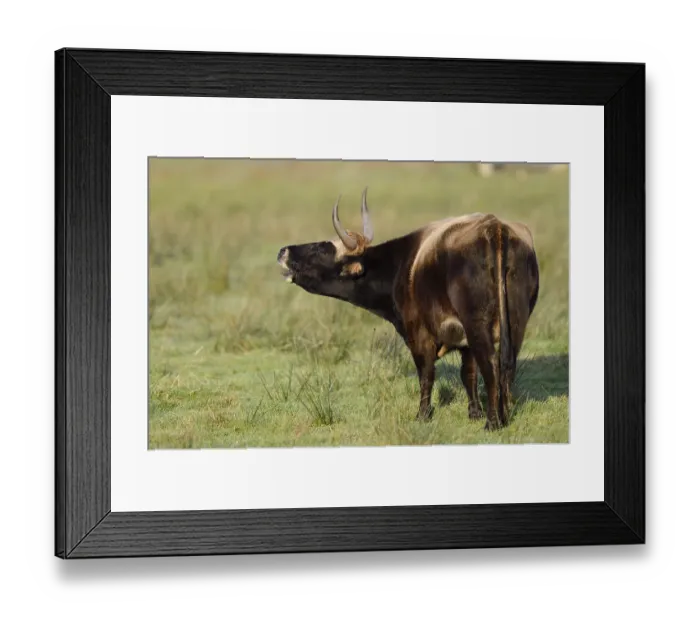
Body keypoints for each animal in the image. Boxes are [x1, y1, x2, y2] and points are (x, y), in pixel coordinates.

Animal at [277, 188, 540, 430]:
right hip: (515, 324)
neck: (402, 265)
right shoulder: (464, 343)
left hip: (478, 326)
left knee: (492, 364)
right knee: (507, 364)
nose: (283, 251)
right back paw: (504, 415)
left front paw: (422, 415)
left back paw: (492, 422)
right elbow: (469, 374)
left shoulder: (420, 336)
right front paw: (474, 413)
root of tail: (494, 228)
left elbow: (427, 374)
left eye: (321, 249)